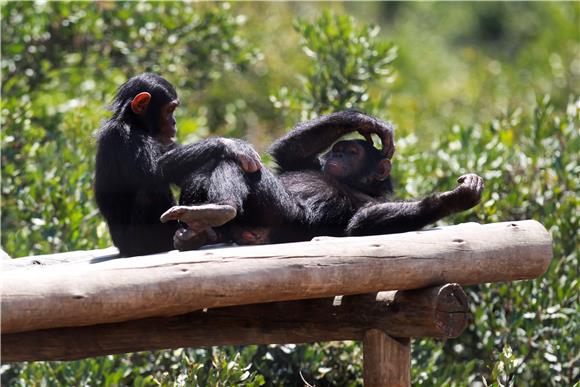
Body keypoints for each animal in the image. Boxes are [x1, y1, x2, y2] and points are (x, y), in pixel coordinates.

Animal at [94, 74, 260, 260]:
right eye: (169, 110)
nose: (174, 122)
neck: (136, 124)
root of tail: (121, 249)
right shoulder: (122, 134)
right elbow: (154, 172)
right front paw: (232, 145)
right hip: (137, 241)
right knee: (151, 189)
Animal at [161, 110, 482, 250]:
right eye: (339, 149)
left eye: (352, 152)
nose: (338, 155)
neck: (357, 184)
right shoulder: (307, 162)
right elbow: (288, 152)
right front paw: (368, 122)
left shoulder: (371, 202)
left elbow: (361, 222)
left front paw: (455, 198)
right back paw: (198, 231)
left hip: (278, 214)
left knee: (239, 166)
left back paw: (217, 210)